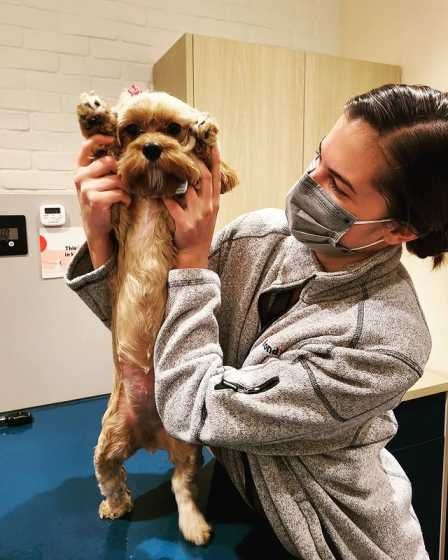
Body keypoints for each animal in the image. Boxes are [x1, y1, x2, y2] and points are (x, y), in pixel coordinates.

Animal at [77, 85, 238, 544]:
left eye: (171, 128)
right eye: (131, 130)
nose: (150, 147)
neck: (151, 196)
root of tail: (150, 435)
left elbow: (208, 170)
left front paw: (205, 132)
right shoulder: (117, 207)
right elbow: (103, 156)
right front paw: (93, 116)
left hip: (186, 447)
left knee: (181, 485)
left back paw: (194, 524)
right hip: (108, 439)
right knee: (112, 478)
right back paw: (116, 506)